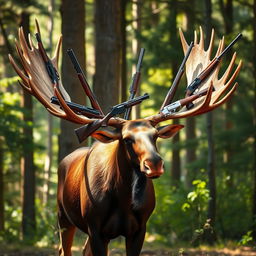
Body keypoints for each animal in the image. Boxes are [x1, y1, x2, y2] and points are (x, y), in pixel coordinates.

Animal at [9, 22, 242, 256]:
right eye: (127, 139)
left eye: (155, 136)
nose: (154, 164)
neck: (122, 200)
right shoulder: (95, 228)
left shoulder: (139, 229)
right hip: (63, 216)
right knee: (63, 249)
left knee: (83, 250)